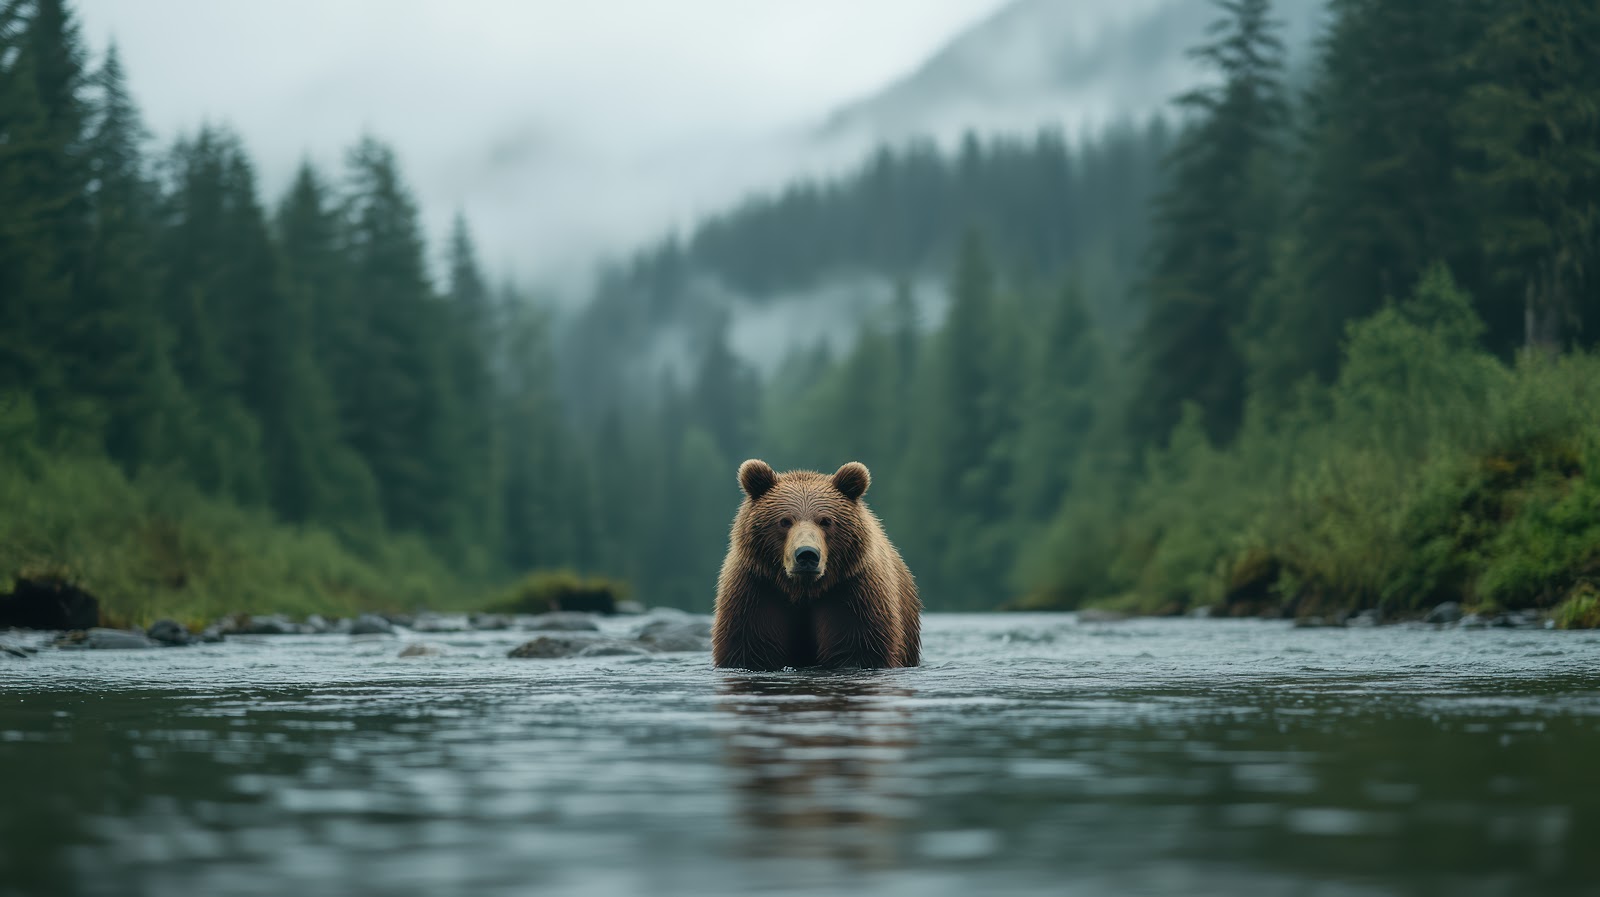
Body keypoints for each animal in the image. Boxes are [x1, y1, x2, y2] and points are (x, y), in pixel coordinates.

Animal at [712, 459, 921, 670]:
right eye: (784, 521)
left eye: (826, 521)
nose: (806, 554)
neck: (803, 591)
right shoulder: (756, 591)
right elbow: (752, 647)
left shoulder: (853, 592)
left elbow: (857, 647)